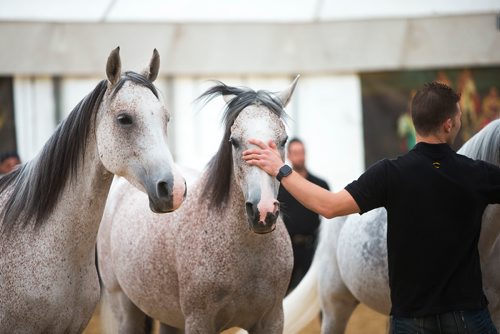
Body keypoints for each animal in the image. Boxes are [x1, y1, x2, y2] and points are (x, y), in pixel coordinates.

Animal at [99, 77, 298, 332]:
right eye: (234, 141)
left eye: (283, 140)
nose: (263, 212)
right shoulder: (199, 321)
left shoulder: (272, 319)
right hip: (124, 308)